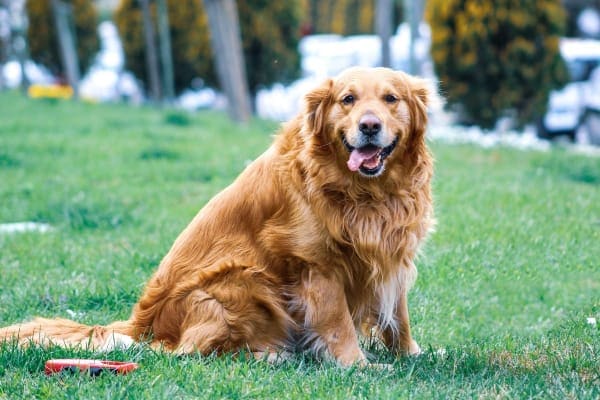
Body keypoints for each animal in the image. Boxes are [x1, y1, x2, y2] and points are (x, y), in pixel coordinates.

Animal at [0, 67, 434, 368]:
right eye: (347, 99)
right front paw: (357, 365)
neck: (366, 193)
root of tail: (141, 325)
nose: (369, 126)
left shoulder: (392, 256)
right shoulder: (317, 265)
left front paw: (413, 354)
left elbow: (400, 317)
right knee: (190, 353)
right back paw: (269, 355)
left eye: (390, 99)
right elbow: (337, 323)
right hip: (241, 278)